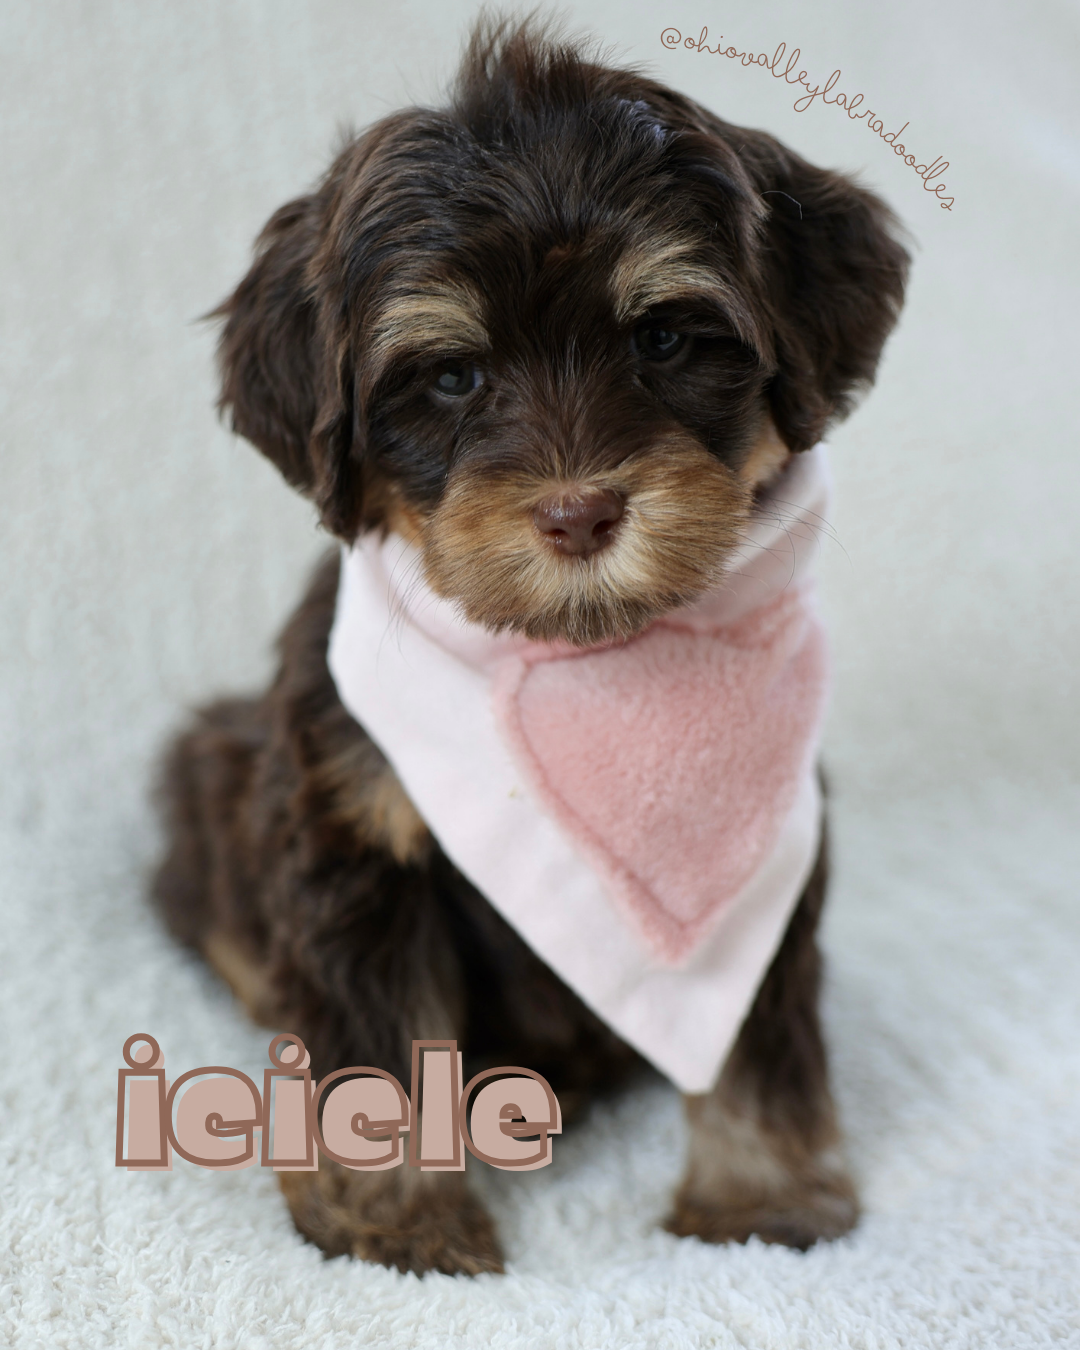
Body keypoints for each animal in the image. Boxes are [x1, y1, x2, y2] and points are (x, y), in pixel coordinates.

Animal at [152, 18, 908, 1275]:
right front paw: (394, 1220)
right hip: (216, 761)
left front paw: (762, 1198)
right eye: (452, 376)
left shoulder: (773, 865)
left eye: (664, 339)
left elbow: (758, 1037)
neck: (575, 661)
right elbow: (378, 1047)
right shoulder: (355, 835)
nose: (578, 514)